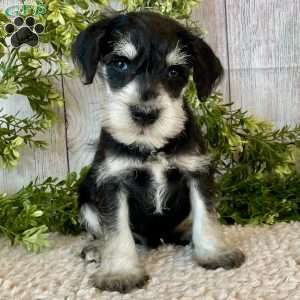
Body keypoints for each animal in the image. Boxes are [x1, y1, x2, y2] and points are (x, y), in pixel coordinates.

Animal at [72, 11, 244, 292]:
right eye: (120, 63)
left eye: (174, 71)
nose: (144, 114)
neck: (152, 146)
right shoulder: (113, 181)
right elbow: (116, 230)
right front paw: (120, 272)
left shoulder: (197, 173)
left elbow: (206, 215)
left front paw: (215, 253)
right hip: (86, 199)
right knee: (104, 231)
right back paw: (97, 249)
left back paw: (186, 232)